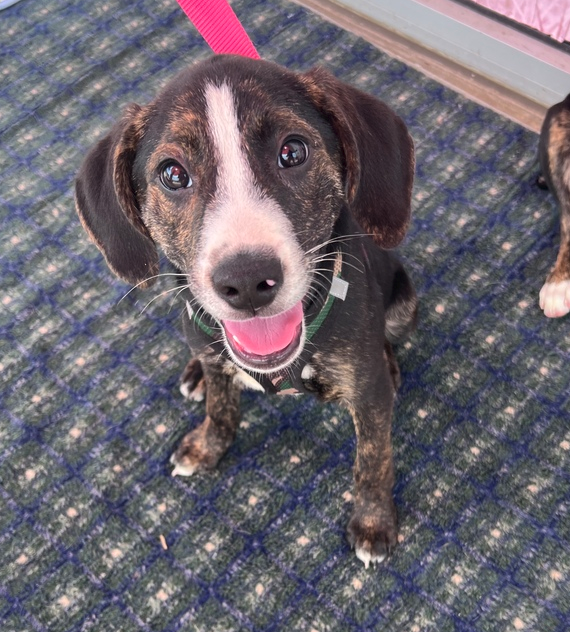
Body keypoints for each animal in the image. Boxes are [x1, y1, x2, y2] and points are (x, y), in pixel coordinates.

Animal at [75, 55, 417, 566]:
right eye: (173, 174)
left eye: (293, 151)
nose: (248, 281)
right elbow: (221, 408)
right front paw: (207, 445)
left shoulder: (368, 396)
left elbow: (374, 458)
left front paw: (373, 523)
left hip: (404, 302)